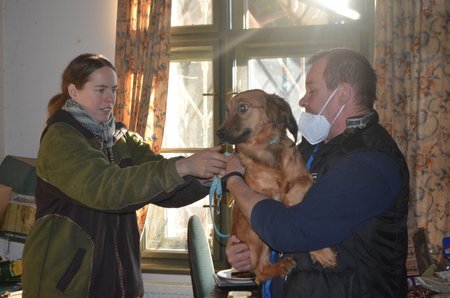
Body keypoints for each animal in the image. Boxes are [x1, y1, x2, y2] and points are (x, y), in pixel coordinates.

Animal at [216, 89, 336, 284]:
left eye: (243, 108)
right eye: (227, 110)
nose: (218, 133)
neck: (267, 151)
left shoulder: (304, 177)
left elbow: (292, 196)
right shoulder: (260, 198)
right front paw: (322, 253)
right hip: (255, 234)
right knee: (260, 271)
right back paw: (282, 266)